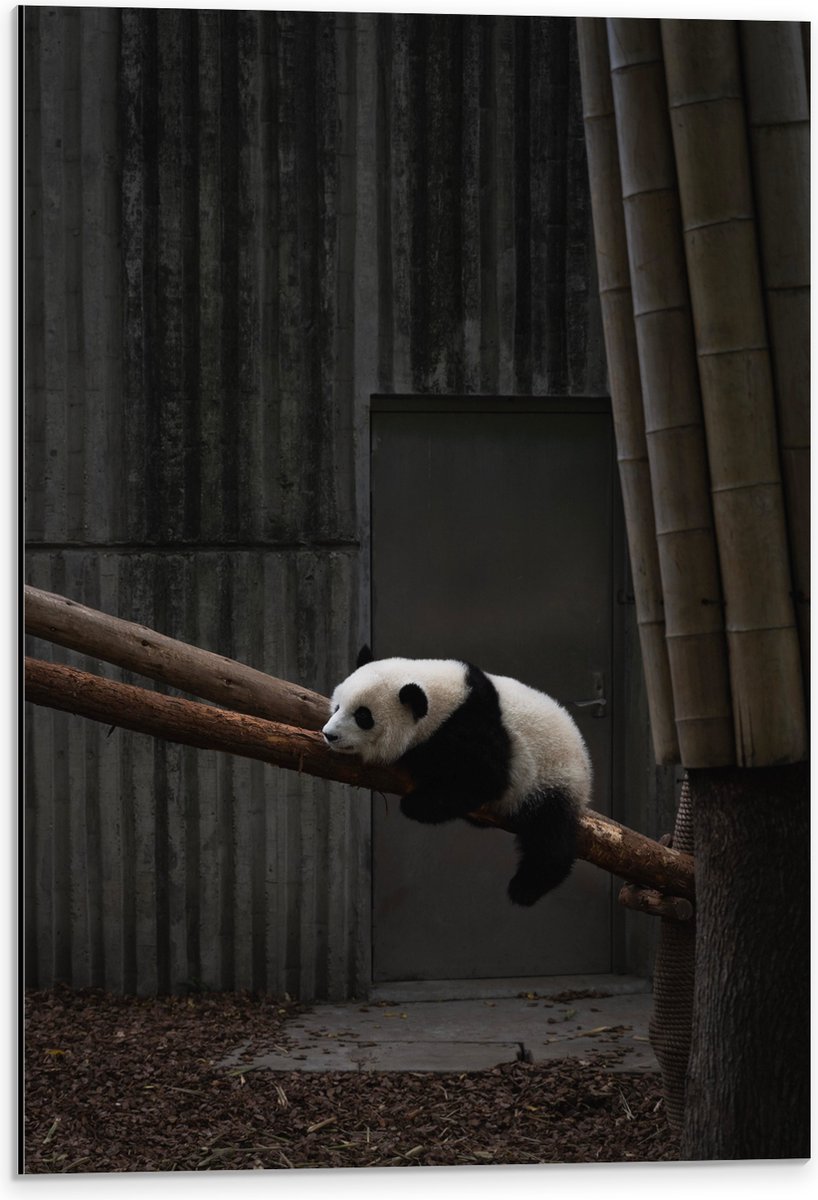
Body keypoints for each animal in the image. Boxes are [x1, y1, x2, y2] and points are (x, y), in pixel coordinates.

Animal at [322, 646, 592, 906]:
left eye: (362, 716)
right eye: (338, 706)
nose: (329, 734)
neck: (446, 700)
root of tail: (585, 761)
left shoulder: (472, 727)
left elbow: (485, 778)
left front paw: (416, 802)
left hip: (553, 777)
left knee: (549, 834)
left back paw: (526, 887)